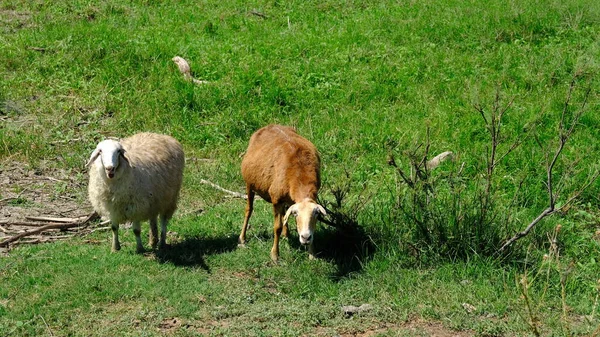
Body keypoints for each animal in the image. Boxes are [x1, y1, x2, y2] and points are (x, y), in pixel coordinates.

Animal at [238, 124, 326, 262]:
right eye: (296, 214)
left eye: (316, 214)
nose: (305, 238)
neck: (300, 176)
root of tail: (270, 125)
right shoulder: (276, 199)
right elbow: (277, 227)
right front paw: (275, 255)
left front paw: (312, 254)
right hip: (249, 184)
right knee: (248, 210)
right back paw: (242, 238)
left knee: (285, 214)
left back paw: (287, 234)